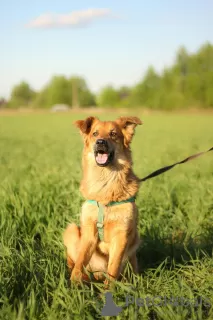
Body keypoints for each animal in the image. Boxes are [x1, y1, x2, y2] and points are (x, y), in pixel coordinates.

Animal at [63, 115, 143, 288]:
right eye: (95, 133)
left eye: (113, 134)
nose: (100, 142)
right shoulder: (89, 232)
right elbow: (80, 262)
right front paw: (74, 284)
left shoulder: (121, 235)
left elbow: (113, 267)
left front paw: (108, 290)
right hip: (72, 230)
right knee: (73, 262)